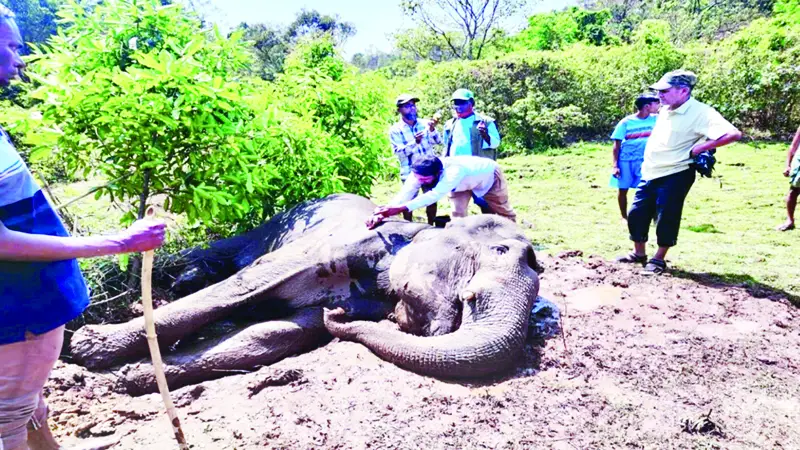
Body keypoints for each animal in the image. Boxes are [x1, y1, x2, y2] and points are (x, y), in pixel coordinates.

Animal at [70, 193, 544, 394]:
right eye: (502, 251)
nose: (340, 319)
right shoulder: (331, 247)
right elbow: (237, 290)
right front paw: (90, 349)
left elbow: (272, 336)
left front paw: (131, 379)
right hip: (272, 224)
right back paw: (181, 276)